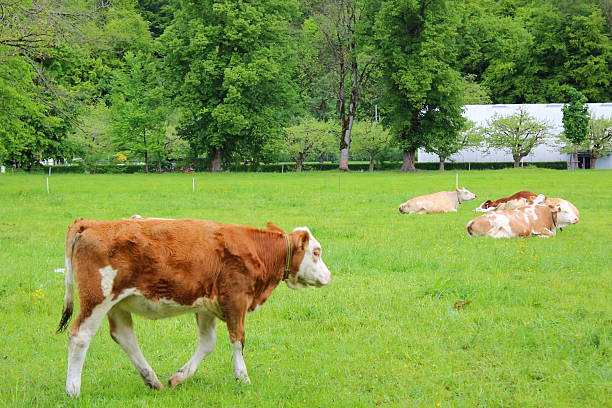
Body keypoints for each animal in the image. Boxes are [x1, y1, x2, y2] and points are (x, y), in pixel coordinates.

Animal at [57, 218, 332, 396]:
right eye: (316, 252)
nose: (329, 276)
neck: (254, 249)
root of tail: (90, 223)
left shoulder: (206, 306)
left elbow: (208, 343)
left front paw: (179, 377)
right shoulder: (236, 299)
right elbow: (238, 339)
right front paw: (242, 376)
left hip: (117, 304)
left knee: (125, 337)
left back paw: (152, 380)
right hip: (97, 299)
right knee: (80, 336)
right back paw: (73, 389)